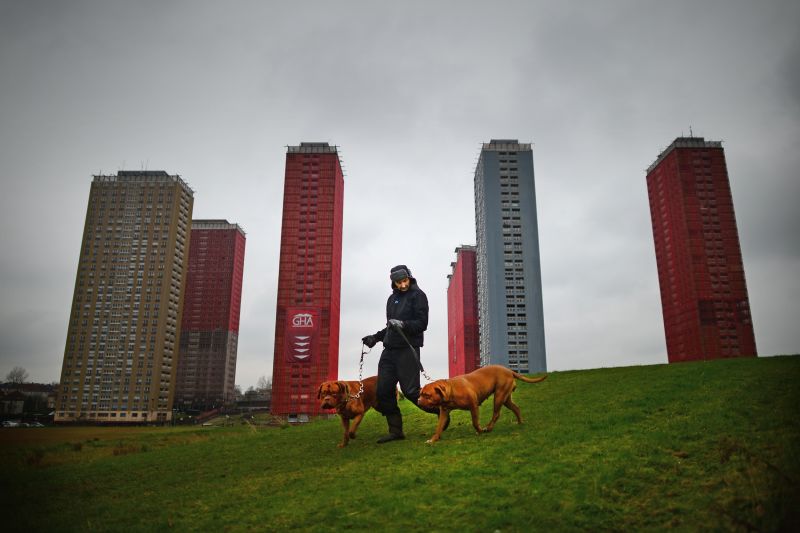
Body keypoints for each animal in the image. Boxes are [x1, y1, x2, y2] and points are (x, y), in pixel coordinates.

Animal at [416, 364, 548, 442]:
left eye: (427, 395)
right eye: (420, 394)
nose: (418, 400)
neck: (451, 390)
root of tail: (509, 370)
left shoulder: (473, 406)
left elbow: (475, 422)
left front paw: (479, 431)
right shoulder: (444, 412)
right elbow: (439, 427)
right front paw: (434, 439)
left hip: (499, 396)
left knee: (496, 414)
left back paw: (488, 428)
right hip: (506, 398)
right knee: (516, 408)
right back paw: (520, 422)